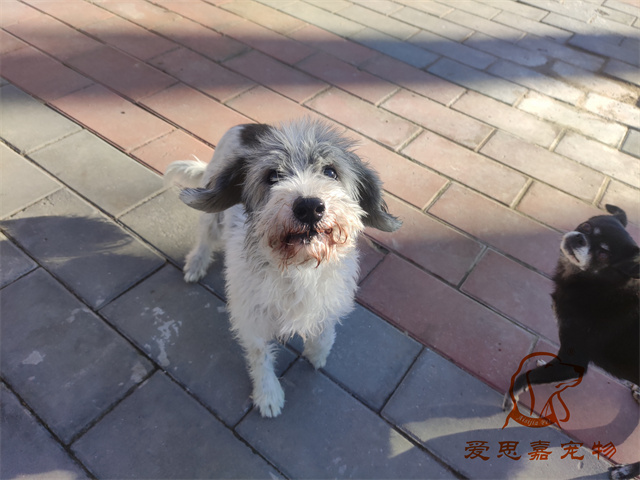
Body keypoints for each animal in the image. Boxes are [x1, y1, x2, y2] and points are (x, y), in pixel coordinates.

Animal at [165, 119, 401, 418]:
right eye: (273, 176)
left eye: (330, 171)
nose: (309, 207)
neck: (299, 267)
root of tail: (247, 125)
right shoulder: (251, 319)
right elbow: (260, 357)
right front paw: (268, 394)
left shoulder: (329, 300)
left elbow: (324, 331)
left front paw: (317, 353)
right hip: (213, 218)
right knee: (205, 239)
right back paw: (195, 264)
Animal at [503, 205, 639, 479]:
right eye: (586, 226)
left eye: (603, 254)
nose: (579, 239)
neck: (598, 284)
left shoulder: (572, 362)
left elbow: (528, 375)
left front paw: (515, 393)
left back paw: (626, 471)